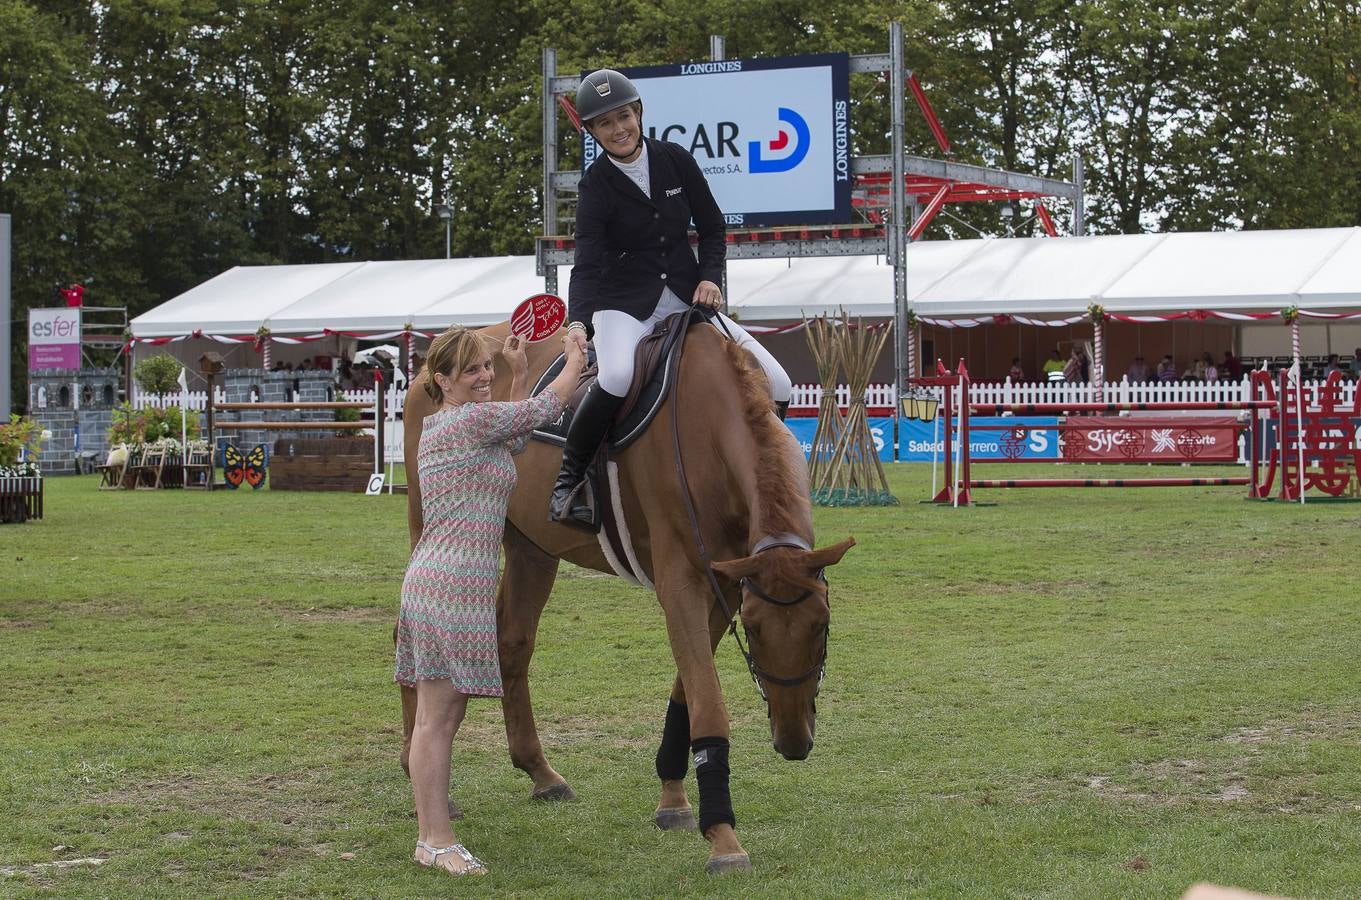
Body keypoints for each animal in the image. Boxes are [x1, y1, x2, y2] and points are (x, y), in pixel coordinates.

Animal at [397, 317, 854, 871]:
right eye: (756, 630)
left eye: (822, 625)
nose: (792, 740)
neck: (708, 430)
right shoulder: (682, 580)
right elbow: (707, 699)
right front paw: (724, 838)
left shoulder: (723, 582)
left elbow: (687, 689)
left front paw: (674, 799)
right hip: (427, 523)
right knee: (408, 633)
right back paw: (421, 775)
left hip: (531, 548)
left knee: (513, 642)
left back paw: (540, 773)